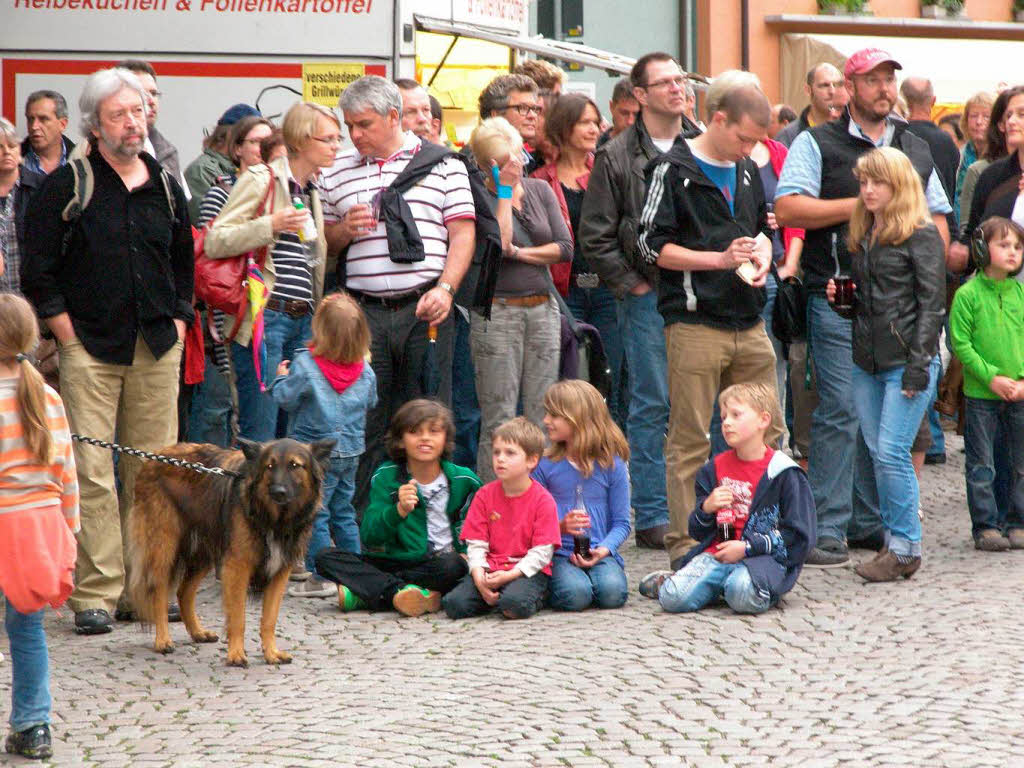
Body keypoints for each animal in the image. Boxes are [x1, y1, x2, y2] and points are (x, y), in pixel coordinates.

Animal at [123, 438, 331, 667]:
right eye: (269, 466)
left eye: (295, 465)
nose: (278, 492)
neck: (273, 519)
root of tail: (154, 457)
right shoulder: (238, 568)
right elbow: (238, 617)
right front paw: (236, 654)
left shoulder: (279, 573)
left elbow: (269, 619)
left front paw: (271, 653)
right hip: (163, 548)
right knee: (159, 591)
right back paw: (162, 640)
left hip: (203, 553)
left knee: (183, 592)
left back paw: (197, 632)